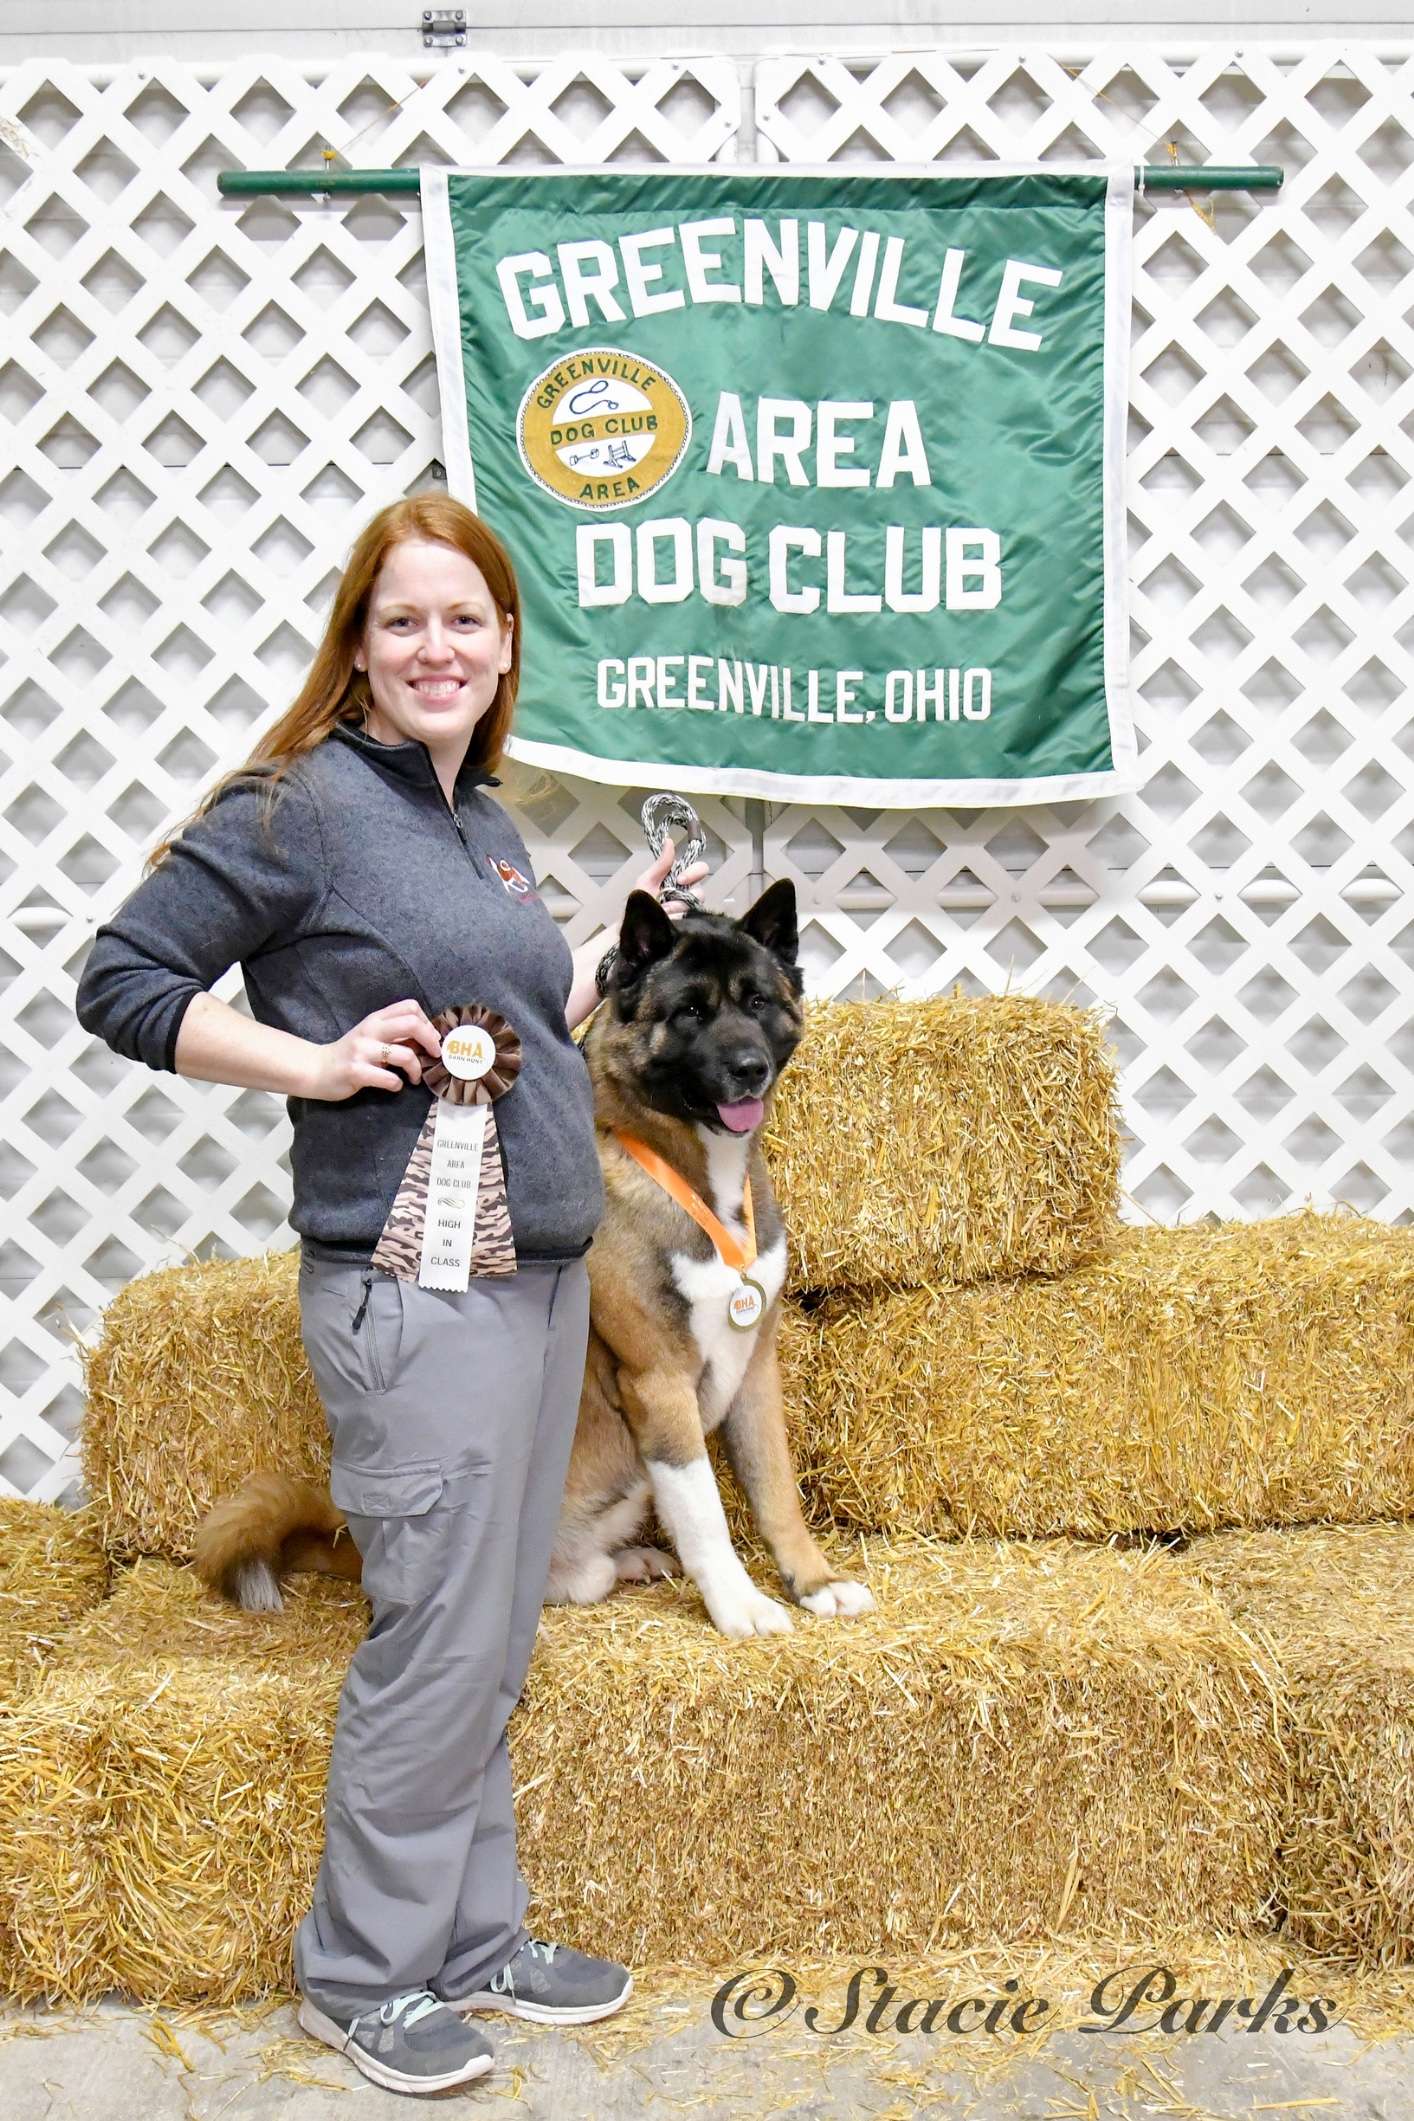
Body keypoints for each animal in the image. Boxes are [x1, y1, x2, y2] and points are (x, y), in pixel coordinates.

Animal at [194, 878, 873, 1638]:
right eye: (691, 1011)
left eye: (758, 1001)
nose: (748, 1069)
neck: (692, 1172)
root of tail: (353, 1544)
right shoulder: (659, 1382)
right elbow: (705, 1515)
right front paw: (739, 1603)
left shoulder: (755, 1368)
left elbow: (777, 1490)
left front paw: (813, 1582)